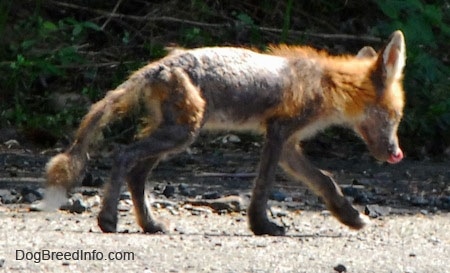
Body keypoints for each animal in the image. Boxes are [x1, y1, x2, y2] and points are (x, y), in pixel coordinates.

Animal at [44, 30, 406, 235]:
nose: (397, 153)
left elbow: (325, 181)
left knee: (136, 172)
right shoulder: (279, 133)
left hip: (176, 135)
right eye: (395, 116)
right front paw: (262, 226)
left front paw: (350, 217)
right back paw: (108, 220)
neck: (327, 84)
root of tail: (156, 66)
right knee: (122, 155)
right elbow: (263, 186)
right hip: (182, 133)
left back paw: (149, 224)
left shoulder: (290, 145)